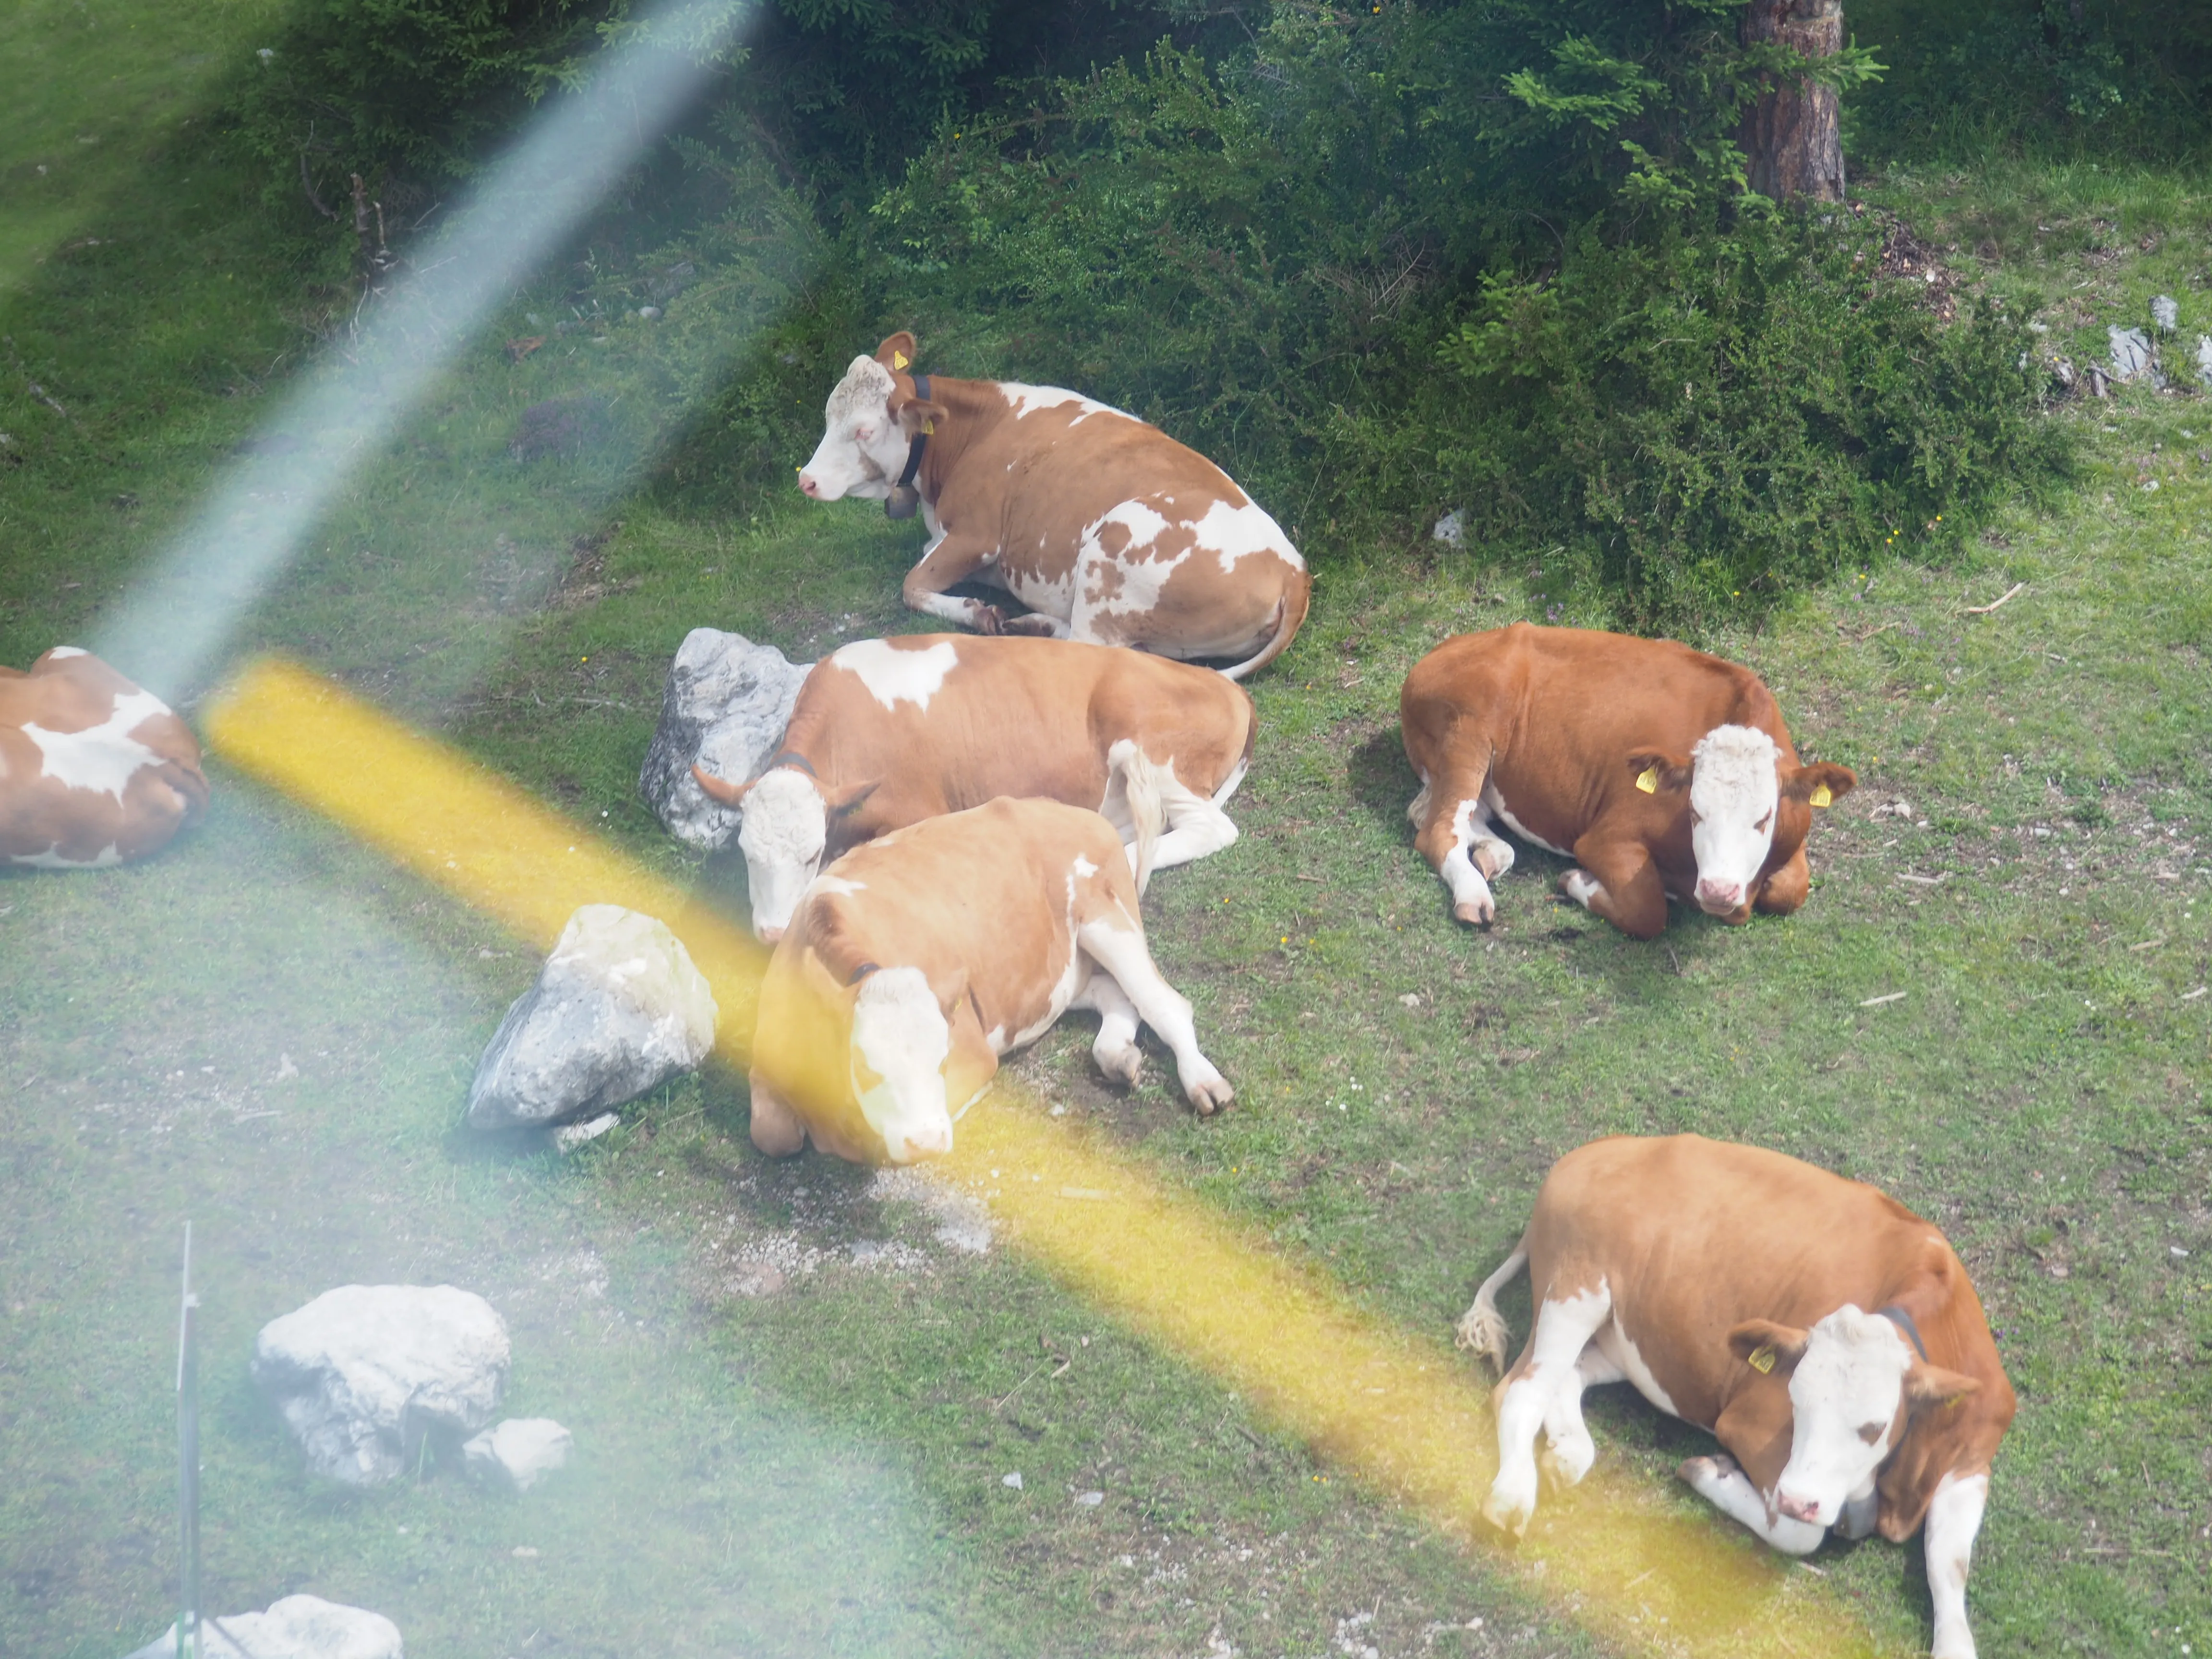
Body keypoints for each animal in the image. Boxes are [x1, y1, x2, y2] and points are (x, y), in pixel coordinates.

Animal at [691, 633, 1253, 942]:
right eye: (746, 854)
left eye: (810, 854)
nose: (771, 933)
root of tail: (1225, 683)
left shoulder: (916, 810)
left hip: (1158, 758)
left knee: (1211, 830)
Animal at [746, 795, 1232, 1165]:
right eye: (866, 1068)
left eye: (943, 1059)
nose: (926, 1143)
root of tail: (1077, 812)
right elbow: (773, 1136)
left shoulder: (975, 1056)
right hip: (1060, 978)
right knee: (1114, 995)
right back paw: (1117, 1055)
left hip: (1107, 916)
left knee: (1164, 1004)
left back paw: (1203, 1082)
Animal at [796, 332, 1310, 679]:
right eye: (827, 413)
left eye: (863, 430)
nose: (806, 479)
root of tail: (1295, 571)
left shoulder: (977, 536)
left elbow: (912, 585)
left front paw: (976, 610)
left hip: (1114, 544)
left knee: (1092, 646)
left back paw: (1029, 625)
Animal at [1400, 624, 1856, 938]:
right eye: (1694, 811)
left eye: (1764, 819)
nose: (1718, 890)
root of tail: (1449, 646)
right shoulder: (1606, 838)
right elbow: (1646, 910)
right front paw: (1581, 881)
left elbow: (1791, 890)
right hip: (1468, 733)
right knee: (1439, 829)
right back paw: (1473, 895)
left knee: (1439, 814)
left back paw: (1491, 855)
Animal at [1457, 1135, 2014, 1659]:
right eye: (1795, 1402)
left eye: (1875, 1426)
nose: (1798, 1498)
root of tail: (1595, 1151)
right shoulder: (1750, 1425)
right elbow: (1799, 1533)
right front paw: (1713, 1473)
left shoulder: (1972, 1460)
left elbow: (1948, 1563)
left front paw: (1955, 1644)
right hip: (1575, 1287)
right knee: (1521, 1389)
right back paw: (1511, 1497)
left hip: (1627, 1338)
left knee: (1568, 1377)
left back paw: (1568, 1454)